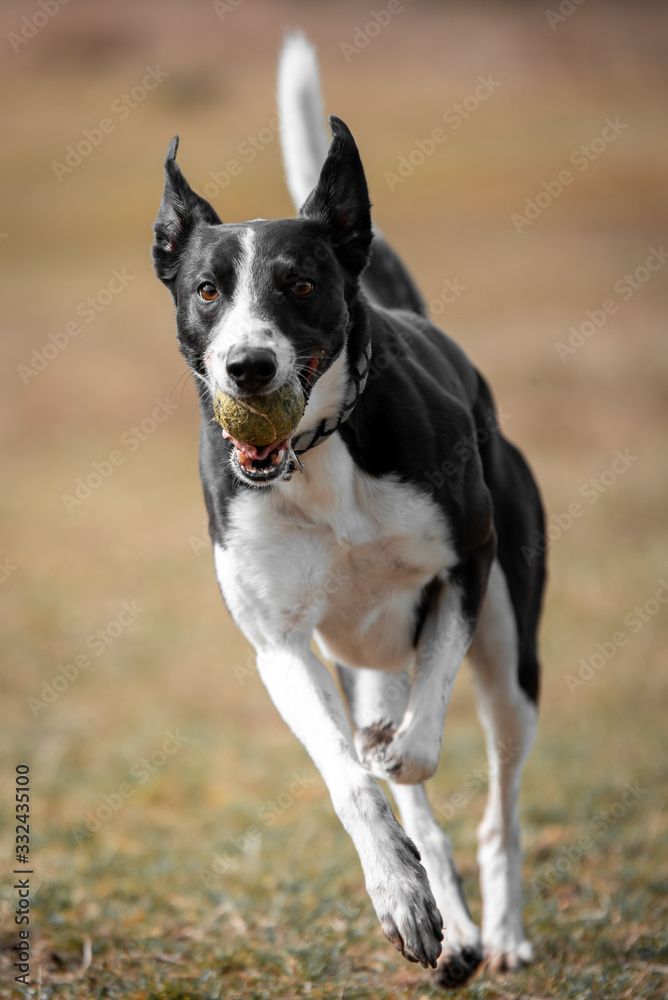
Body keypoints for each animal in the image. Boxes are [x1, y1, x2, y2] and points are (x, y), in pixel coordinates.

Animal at [154, 33, 544, 992]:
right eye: (207, 290)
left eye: (299, 284)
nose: (248, 367)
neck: (321, 452)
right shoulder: (280, 645)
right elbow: (353, 779)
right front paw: (400, 896)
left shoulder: (463, 564)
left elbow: (420, 737)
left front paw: (399, 746)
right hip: (362, 656)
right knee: (423, 810)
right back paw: (453, 927)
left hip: (511, 653)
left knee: (499, 804)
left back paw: (504, 931)